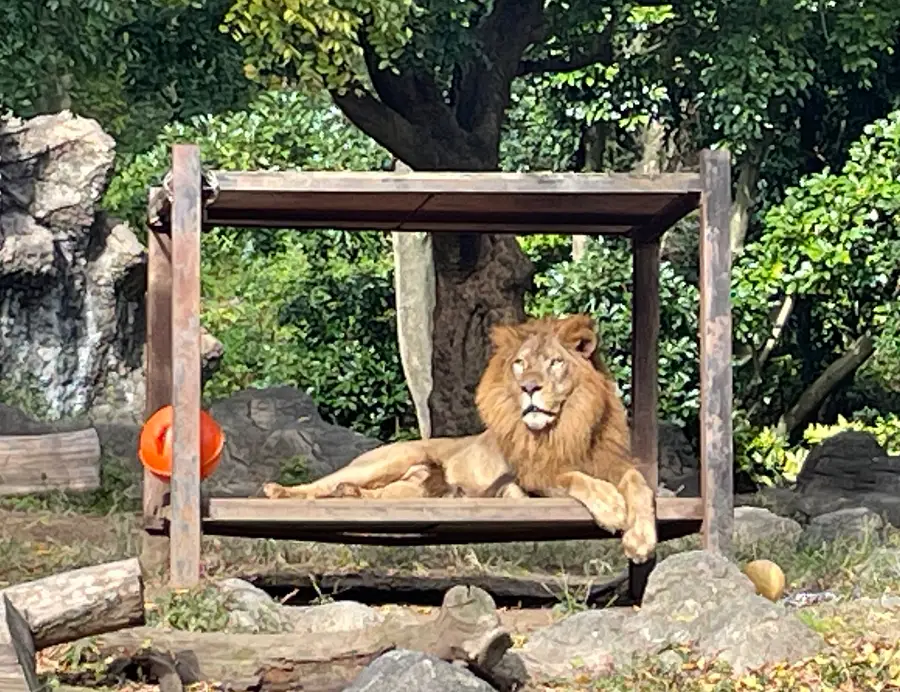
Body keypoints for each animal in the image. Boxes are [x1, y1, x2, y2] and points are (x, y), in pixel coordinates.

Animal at [262, 314, 657, 563]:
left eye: (554, 363)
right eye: (520, 363)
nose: (529, 387)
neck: (566, 425)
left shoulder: (612, 464)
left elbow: (638, 485)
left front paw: (640, 540)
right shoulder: (531, 477)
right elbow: (573, 478)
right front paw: (611, 506)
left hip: (410, 490)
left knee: (365, 493)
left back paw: (350, 496)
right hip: (387, 460)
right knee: (321, 484)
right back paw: (279, 491)